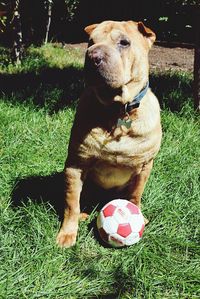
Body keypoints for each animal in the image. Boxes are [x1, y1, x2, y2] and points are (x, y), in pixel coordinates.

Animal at [55, 19, 161, 248]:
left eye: (124, 42)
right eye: (90, 41)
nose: (93, 56)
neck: (118, 111)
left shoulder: (145, 166)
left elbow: (135, 195)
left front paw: (138, 215)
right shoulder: (76, 164)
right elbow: (71, 202)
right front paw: (67, 233)